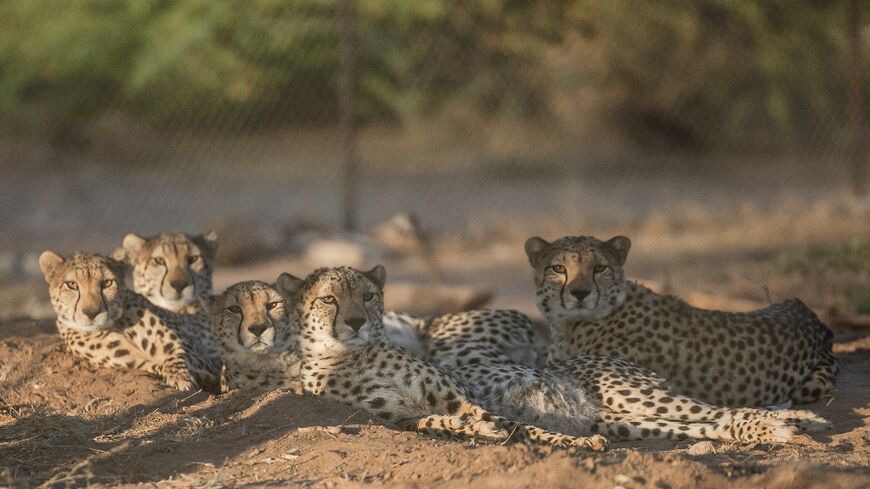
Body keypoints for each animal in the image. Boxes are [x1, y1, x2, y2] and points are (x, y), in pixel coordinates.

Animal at [39, 250, 223, 393]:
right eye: (71, 284)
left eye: (107, 283)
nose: (92, 312)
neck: (115, 324)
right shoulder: (136, 363)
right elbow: (158, 366)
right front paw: (204, 378)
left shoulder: (189, 349)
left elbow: (174, 358)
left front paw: (181, 378)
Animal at [275, 265, 608, 450]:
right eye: (328, 299)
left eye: (367, 296)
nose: (357, 322)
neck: (356, 354)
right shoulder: (401, 419)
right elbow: (432, 422)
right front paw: (470, 428)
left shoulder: (460, 400)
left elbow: (518, 425)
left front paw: (575, 441)